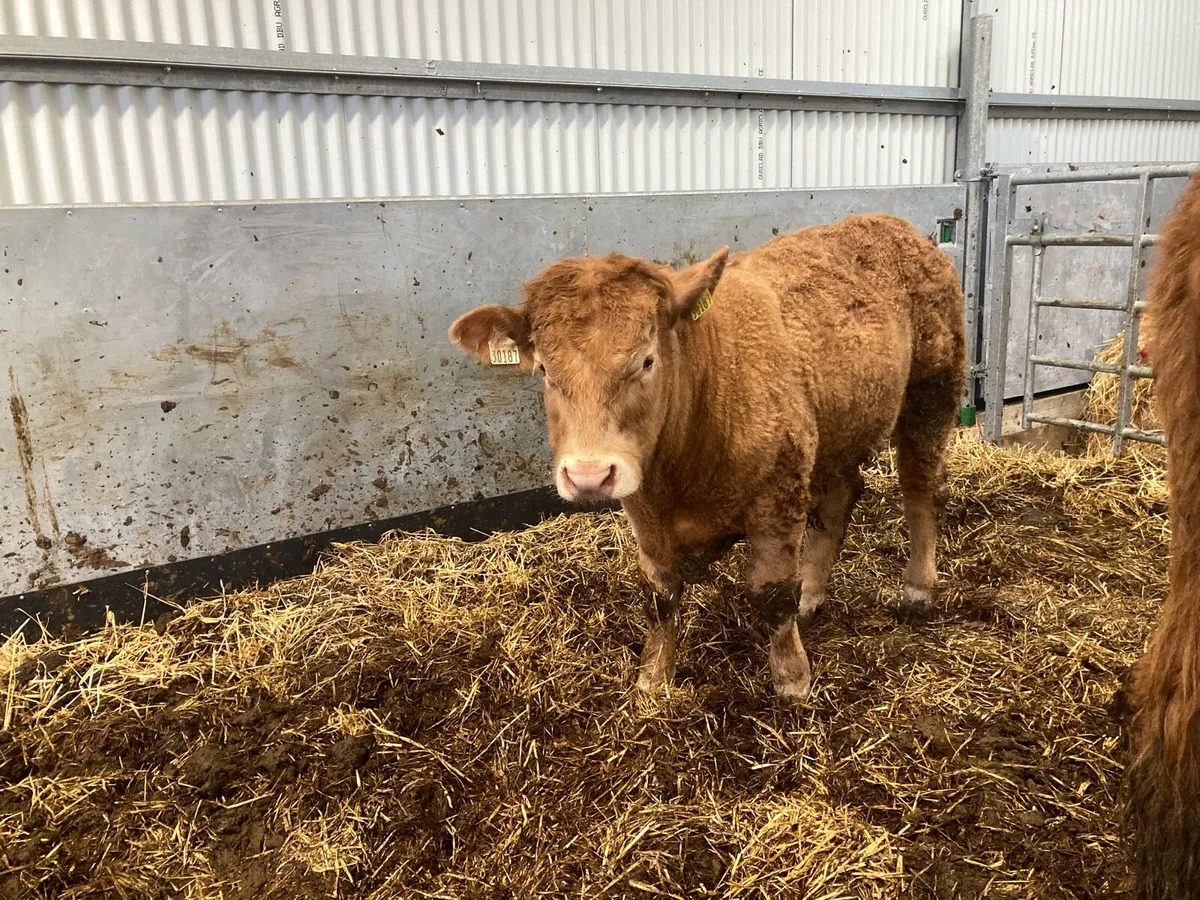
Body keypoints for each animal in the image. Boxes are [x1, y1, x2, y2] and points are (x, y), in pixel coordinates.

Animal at [450, 213, 966, 700]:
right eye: (543, 369)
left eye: (647, 360)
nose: (589, 476)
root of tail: (895, 226)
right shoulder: (643, 506)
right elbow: (660, 591)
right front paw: (654, 676)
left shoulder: (777, 494)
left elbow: (772, 592)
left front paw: (792, 679)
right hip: (833, 430)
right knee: (842, 497)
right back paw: (813, 594)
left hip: (932, 390)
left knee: (919, 490)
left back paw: (917, 588)